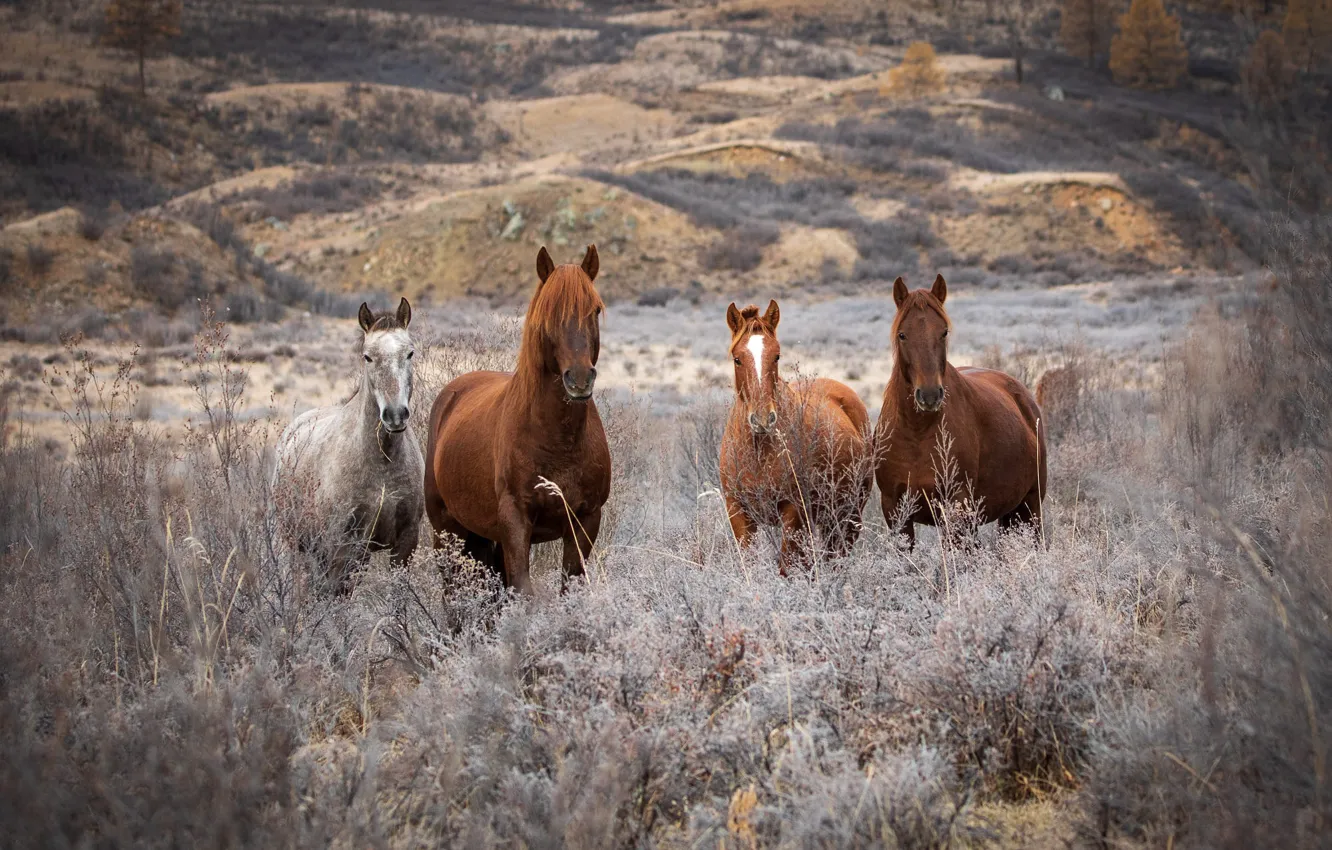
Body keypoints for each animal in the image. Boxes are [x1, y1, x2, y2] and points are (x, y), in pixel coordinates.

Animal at [273, 298, 424, 592]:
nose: (395, 415)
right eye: (368, 356)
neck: (383, 463)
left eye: (410, 353)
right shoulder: (344, 546)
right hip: (293, 545)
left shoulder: (405, 542)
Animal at [423, 245, 611, 594]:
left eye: (594, 310)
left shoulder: (585, 521)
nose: (580, 379)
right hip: (446, 532)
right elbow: (524, 590)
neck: (558, 440)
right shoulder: (515, 521)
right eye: (550, 313)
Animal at [720, 300, 874, 574]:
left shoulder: (793, 513)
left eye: (777, 356)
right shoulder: (738, 512)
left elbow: (786, 567)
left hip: (849, 514)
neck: (758, 451)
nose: (762, 419)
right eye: (737, 359)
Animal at [875, 275, 1047, 547]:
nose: (930, 395)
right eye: (902, 334)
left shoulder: (958, 509)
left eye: (944, 332)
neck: (916, 431)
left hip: (1030, 507)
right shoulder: (895, 512)